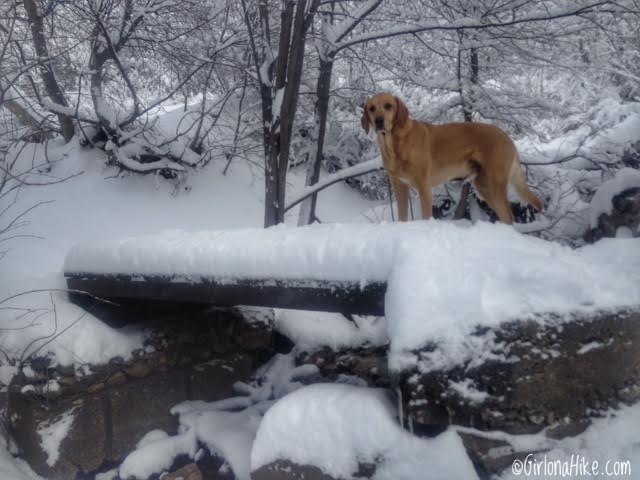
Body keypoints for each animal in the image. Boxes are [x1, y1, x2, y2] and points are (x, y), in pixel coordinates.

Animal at [360, 93, 540, 224]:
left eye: (388, 106)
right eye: (371, 108)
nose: (379, 121)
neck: (394, 144)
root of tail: (506, 136)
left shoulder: (424, 187)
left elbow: (426, 216)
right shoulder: (399, 187)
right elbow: (402, 218)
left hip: (494, 184)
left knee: (509, 216)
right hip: (485, 187)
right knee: (505, 216)